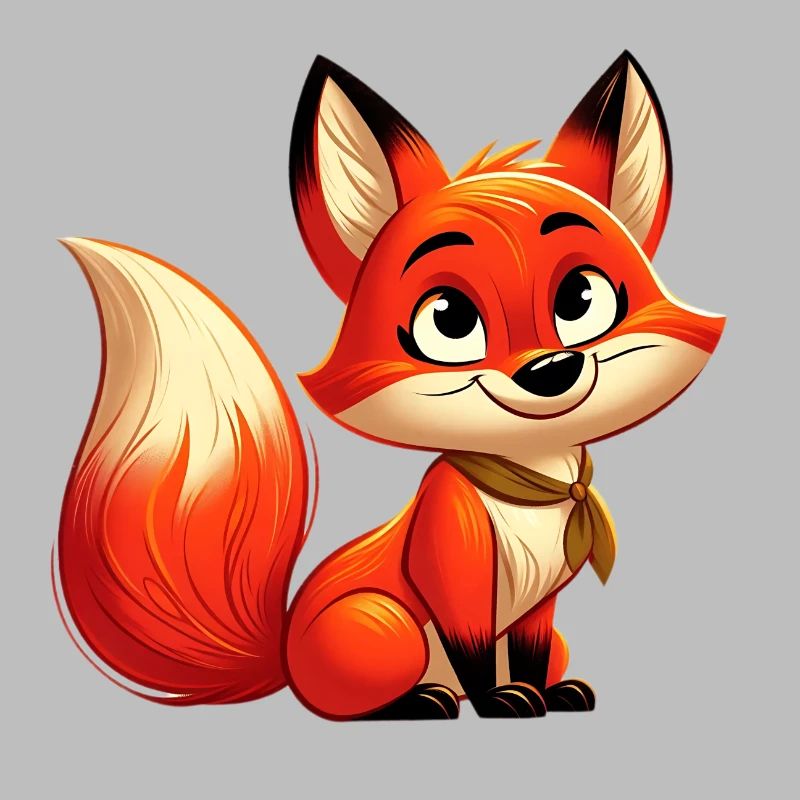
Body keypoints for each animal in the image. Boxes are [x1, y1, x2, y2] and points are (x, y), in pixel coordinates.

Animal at [55, 52, 724, 720]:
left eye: (581, 298)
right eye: (450, 319)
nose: (550, 371)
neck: (530, 490)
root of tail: (284, 658)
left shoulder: (541, 606)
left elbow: (530, 653)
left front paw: (544, 695)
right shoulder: (451, 571)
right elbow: (473, 652)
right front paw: (499, 700)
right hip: (390, 622)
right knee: (364, 700)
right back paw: (424, 700)